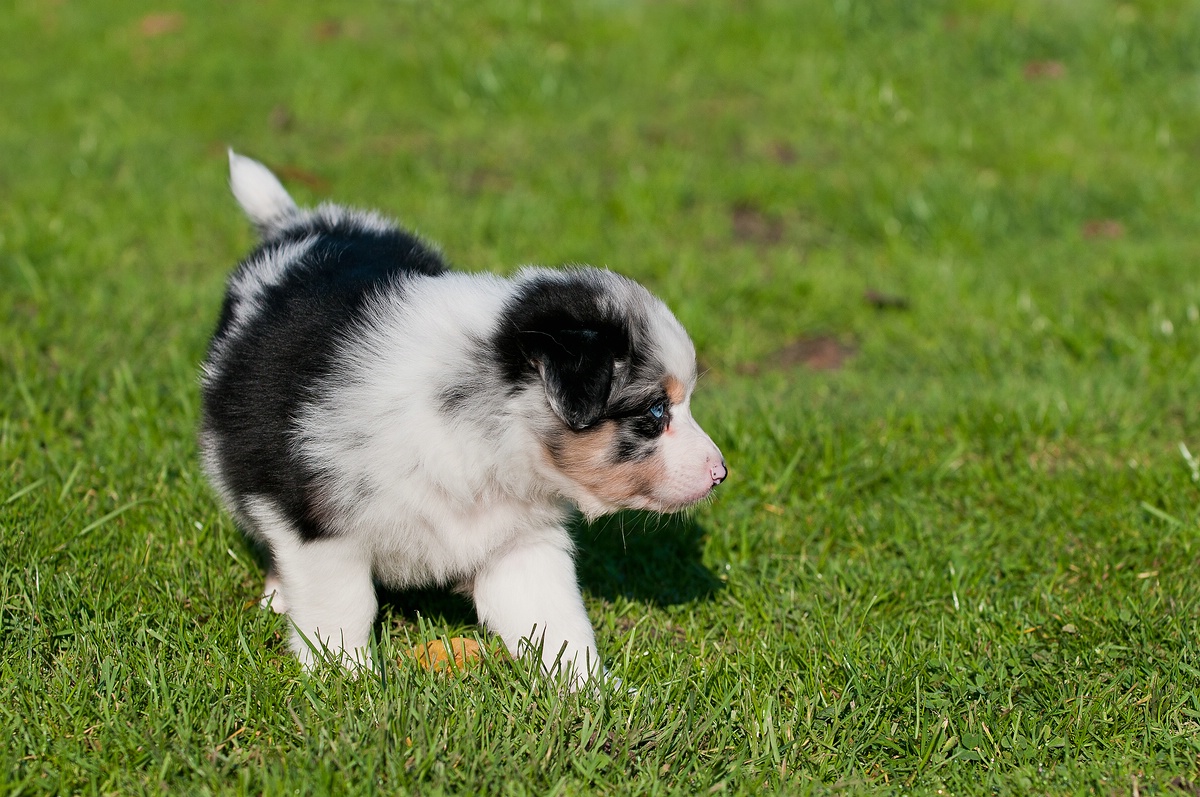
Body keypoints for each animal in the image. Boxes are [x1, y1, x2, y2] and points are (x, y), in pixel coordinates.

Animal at [201, 153, 724, 686]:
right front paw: (347, 680)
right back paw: (278, 595)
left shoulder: (518, 541)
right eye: (655, 411)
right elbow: (343, 607)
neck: (479, 434)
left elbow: (556, 620)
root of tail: (297, 222)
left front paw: (592, 690)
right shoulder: (320, 528)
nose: (721, 472)